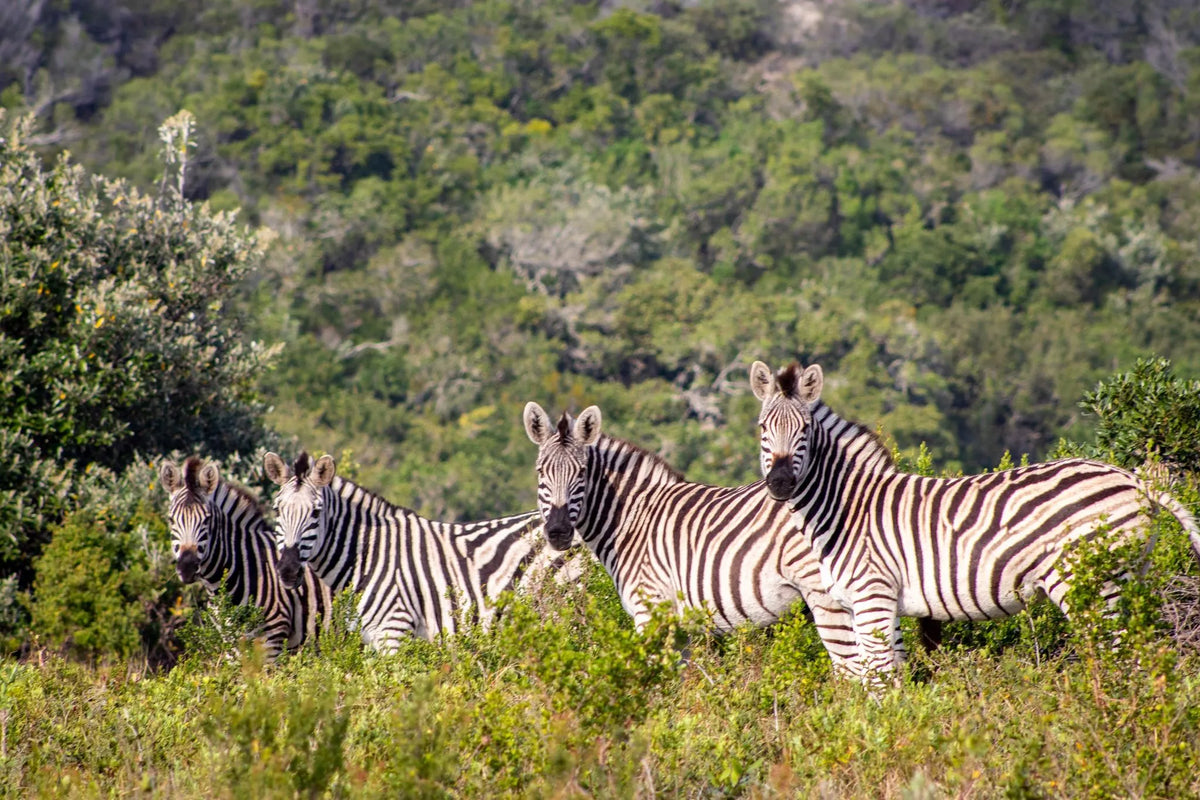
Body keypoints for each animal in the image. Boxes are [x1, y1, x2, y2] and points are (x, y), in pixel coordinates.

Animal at [262, 450, 572, 652]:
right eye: (277, 510)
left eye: (316, 513)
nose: (287, 570)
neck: (368, 556)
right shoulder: (372, 638)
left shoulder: (394, 630)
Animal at [521, 401, 942, 677]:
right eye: (541, 472)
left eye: (581, 473)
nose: (557, 532)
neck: (634, 519)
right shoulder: (679, 626)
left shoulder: (650, 611)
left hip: (830, 595)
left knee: (855, 670)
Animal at [749, 359, 1200, 683]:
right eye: (762, 428)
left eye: (805, 429)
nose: (780, 483)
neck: (847, 507)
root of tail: (1134, 479)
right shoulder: (881, 604)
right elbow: (891, 682)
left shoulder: (872, 596)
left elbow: (876, 683)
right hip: (1130, 576)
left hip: (1093, 582)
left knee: (1121, 655)